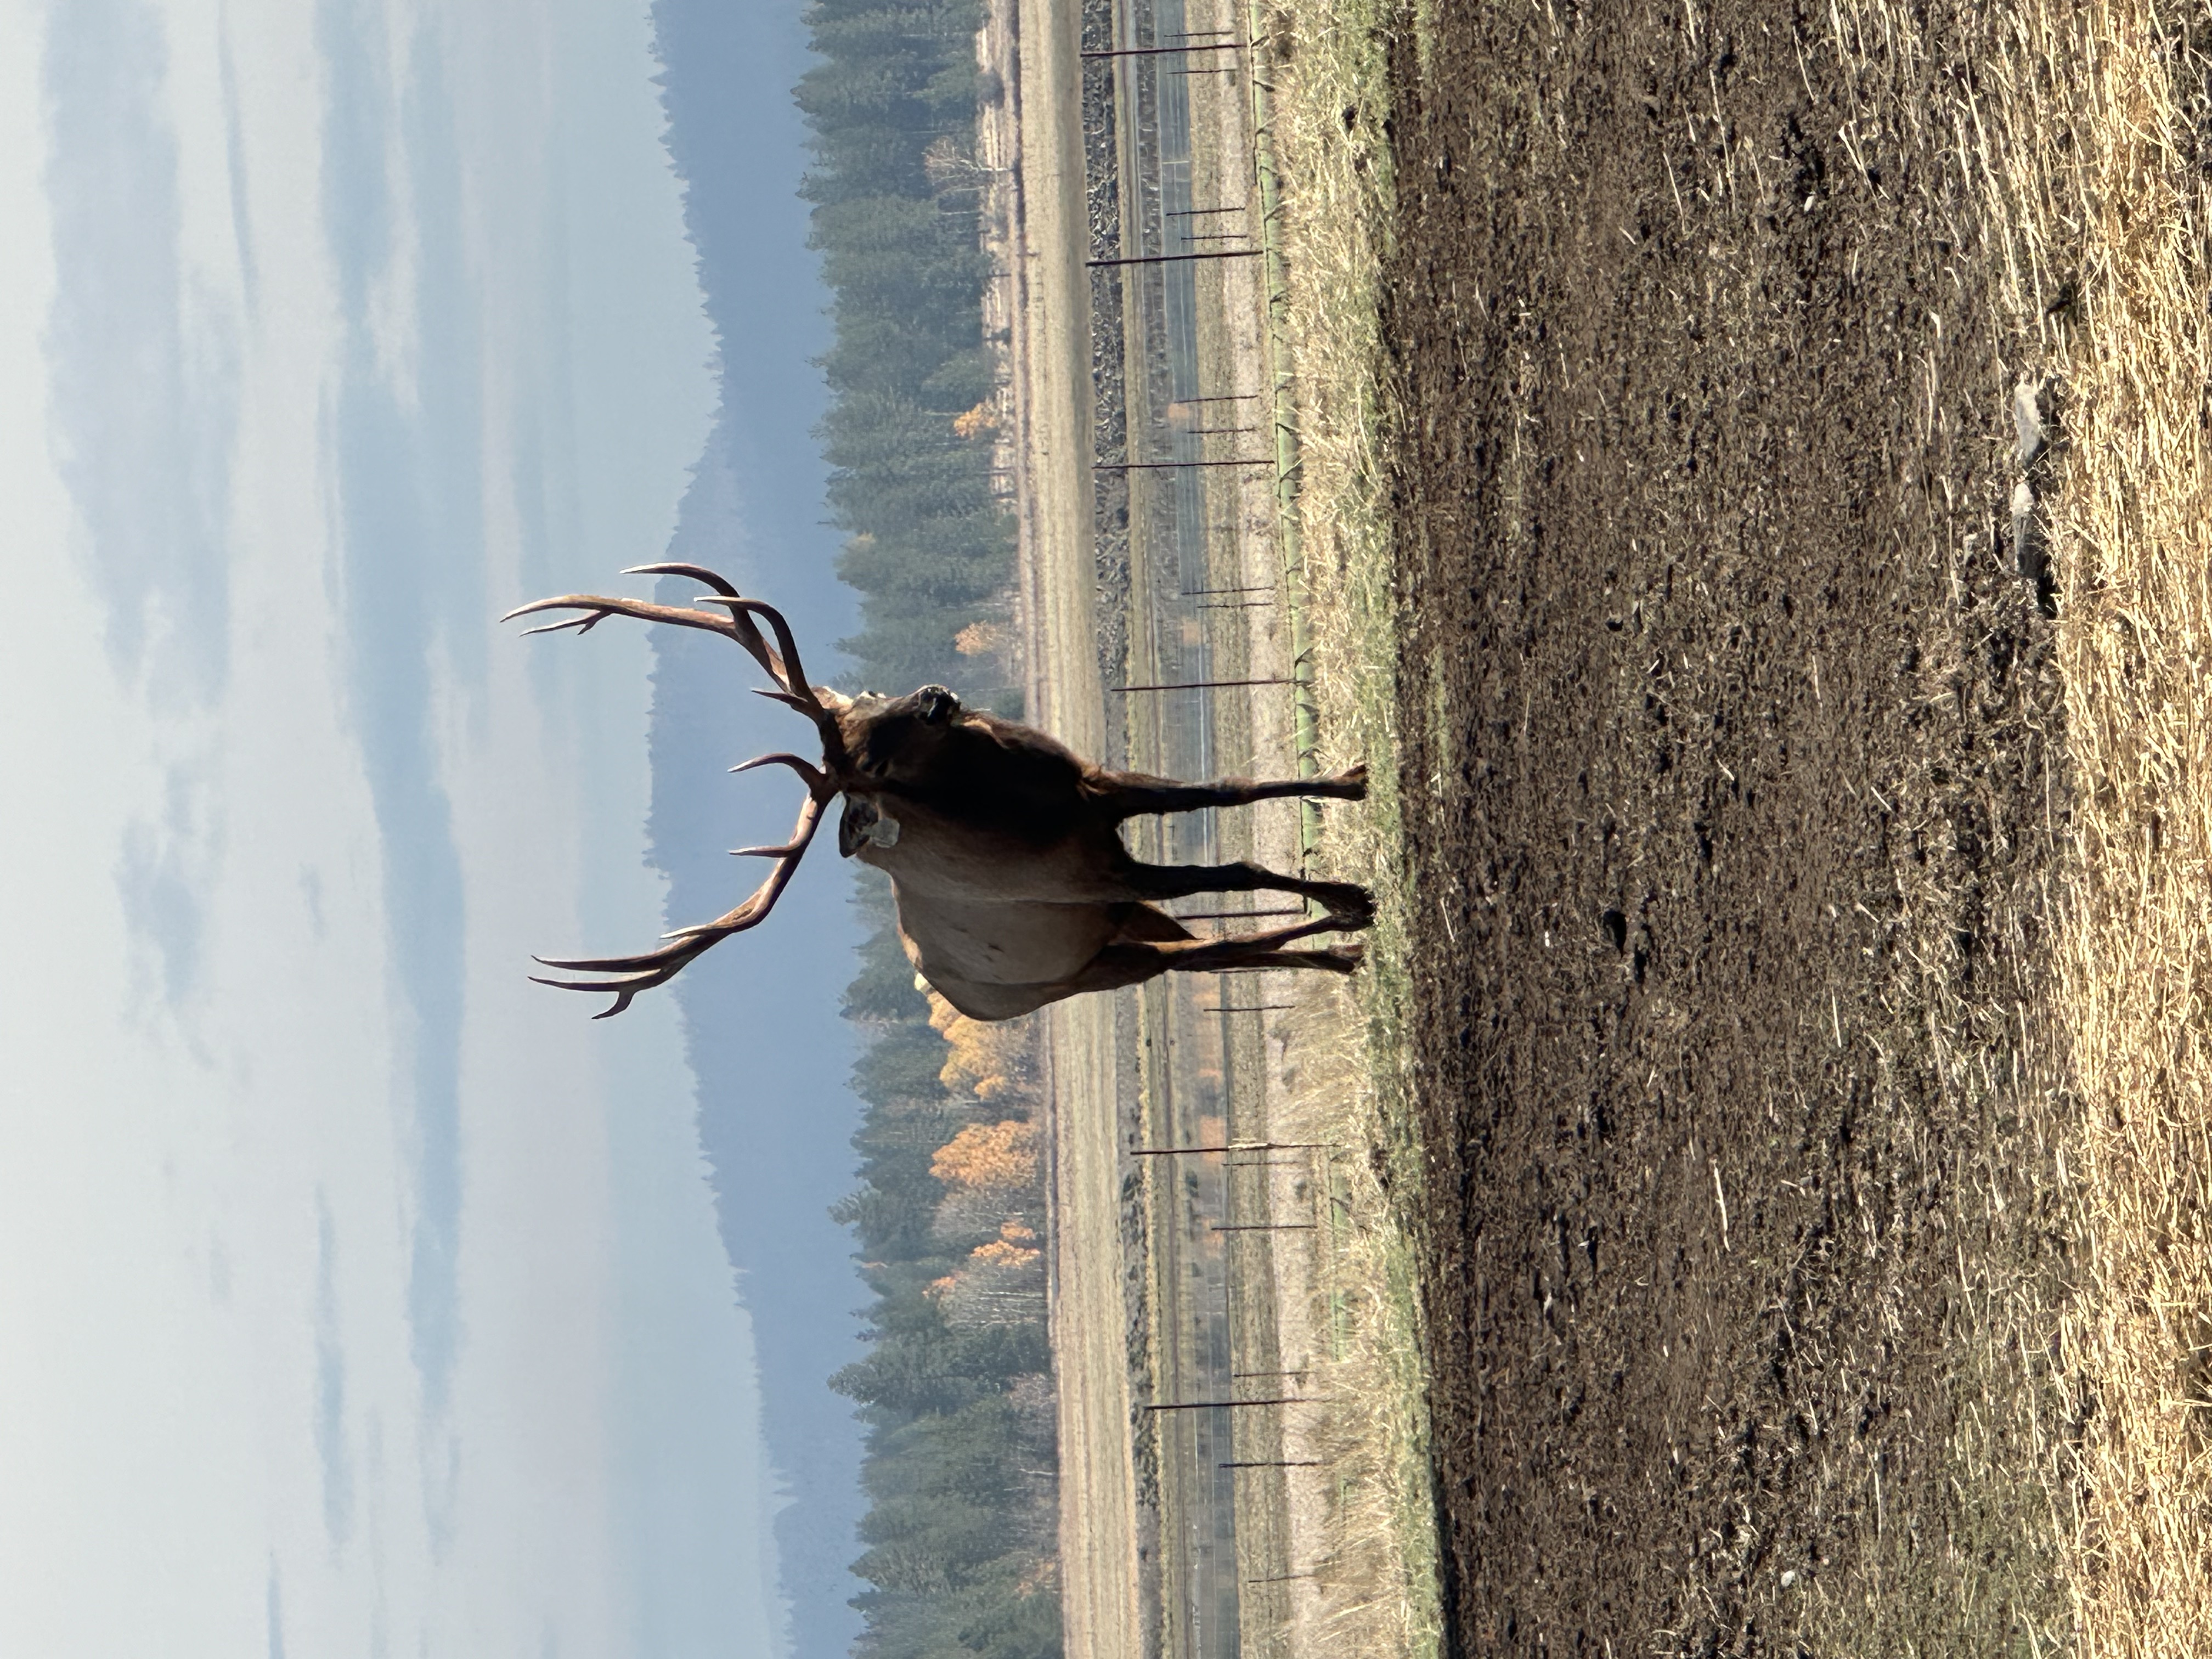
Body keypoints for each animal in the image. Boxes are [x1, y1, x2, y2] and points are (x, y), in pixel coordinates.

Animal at [503, 564, 1373, 1020]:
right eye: (875, 770)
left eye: (863, 696)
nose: (935, 697)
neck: (1022, 807)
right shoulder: (1090, 872)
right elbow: (1232, 872)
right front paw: (1350, 898)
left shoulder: (1099, 792)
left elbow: (1228, 791)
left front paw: (1350, 779)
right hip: (1086, 965)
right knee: (1203, 954)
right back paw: (1341, 947)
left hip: (1113, 927)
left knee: (1204, 951)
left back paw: (1336, 958)